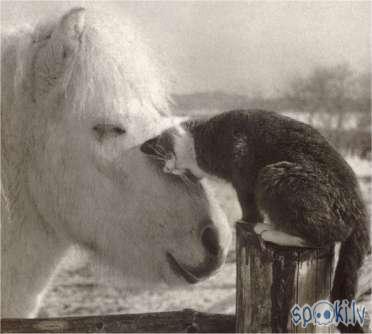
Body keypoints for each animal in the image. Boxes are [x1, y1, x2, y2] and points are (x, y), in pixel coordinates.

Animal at [141, 109, 370, 332]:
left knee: (331, 232)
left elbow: (248, 203)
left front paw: (247, 221)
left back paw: (271, 231)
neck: (197, 141)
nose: (167, 169)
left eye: (163, 153)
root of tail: (357, 202)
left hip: (274, 175)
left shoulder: (243, 167)